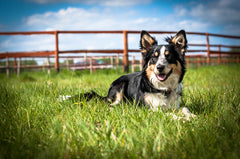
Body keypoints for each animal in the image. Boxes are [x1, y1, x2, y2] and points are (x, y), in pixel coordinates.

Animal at [60, 30, 195, 118]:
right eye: (154, 57)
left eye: (169, 56)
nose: (159, 67)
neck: (163, 88)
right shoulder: (149, 109)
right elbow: (167, 114)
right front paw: (180, 118)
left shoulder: (175, 105)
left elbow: (184, 108)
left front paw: (191, 115)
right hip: (119, 87)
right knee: (111, 104)